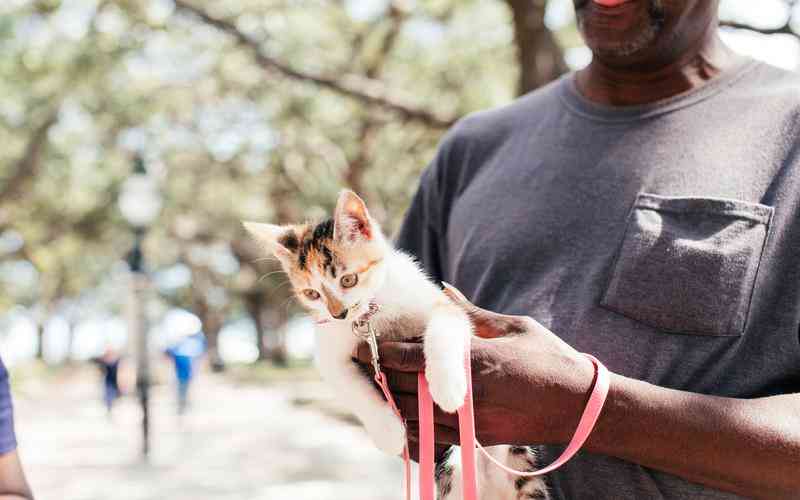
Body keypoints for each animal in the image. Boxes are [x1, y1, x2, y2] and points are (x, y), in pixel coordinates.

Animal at [241, 189, 548, 498]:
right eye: (312, 294)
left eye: (348, 280)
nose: (338, 313)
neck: (371, 316)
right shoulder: (329, 353)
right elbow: (351, 388)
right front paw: (388, 433)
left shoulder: (447, 305)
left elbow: (445, 328)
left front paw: (447, 388)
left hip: (520, 465)